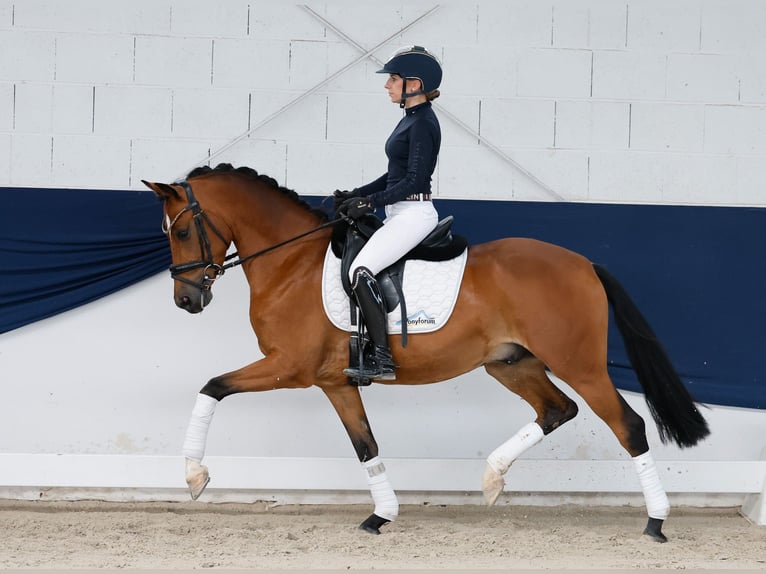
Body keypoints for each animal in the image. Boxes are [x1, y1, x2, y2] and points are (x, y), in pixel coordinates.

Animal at [142, 163, 709, 542]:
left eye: (185, 229)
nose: (186, 300)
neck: (291, 263)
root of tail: (584, 263)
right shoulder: (335, 381)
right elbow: (365, 445)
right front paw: (382, 515)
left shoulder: (289, 368)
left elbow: (212, 387)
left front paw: (194, 477)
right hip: (510, 363)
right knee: (556, 409)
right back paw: (492, 479)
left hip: (580, 364)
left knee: (626, 425)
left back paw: (656, 521)